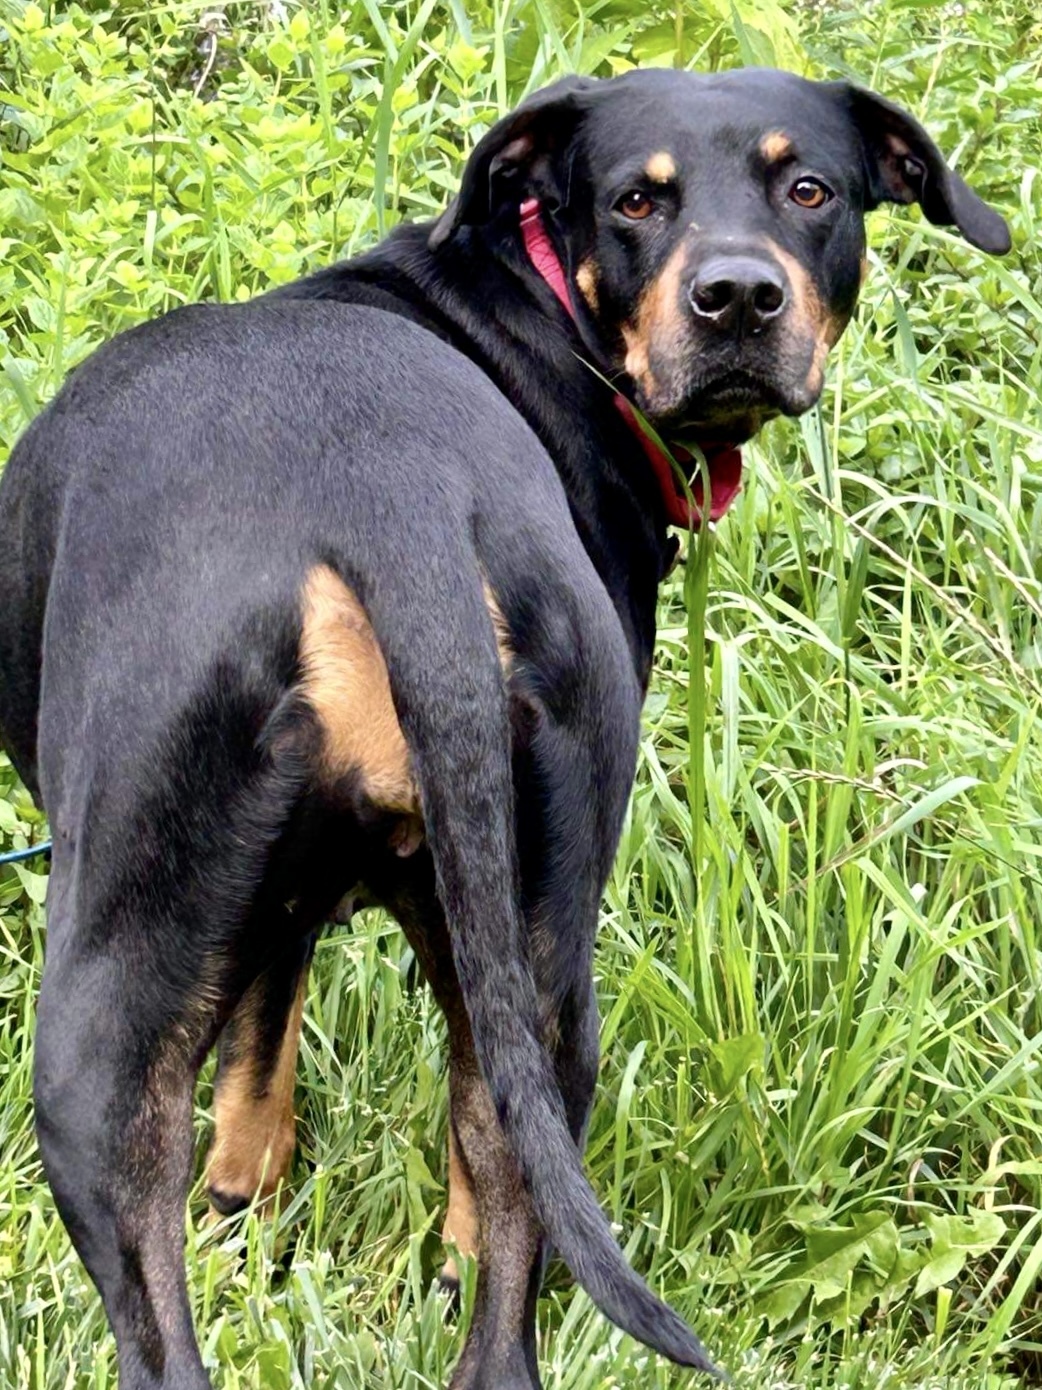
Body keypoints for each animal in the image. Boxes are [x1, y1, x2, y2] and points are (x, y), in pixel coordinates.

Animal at [0, 67, 1011, 1390]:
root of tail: (392, 501)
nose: (738, 296)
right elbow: (274, 1065)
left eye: (809, 189)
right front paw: (253, 1209)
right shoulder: (337, 911)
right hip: (543, 965)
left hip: (96, 1027)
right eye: (635, 198)